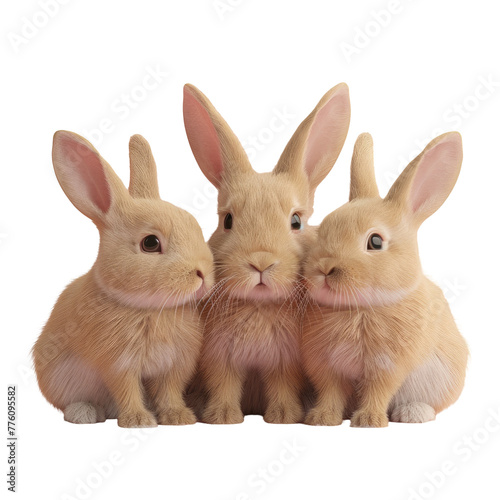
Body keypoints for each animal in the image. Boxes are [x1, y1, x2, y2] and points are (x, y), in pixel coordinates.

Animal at [33, 131, 213, 428]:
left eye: (196, 227)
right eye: (150, 243)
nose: (203, 274)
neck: (150, 308)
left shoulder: (174, 365)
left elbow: (170, 391)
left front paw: (178, 417)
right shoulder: (119, 364)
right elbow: (127, 390)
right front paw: (139, 421)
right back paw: (85, 413)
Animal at [184, 82, 352, 422]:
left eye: (296, 221)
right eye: (227, 220)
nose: (260, 262)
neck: (258, 305)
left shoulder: (285, 362)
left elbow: (281, 385)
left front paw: (284, 415)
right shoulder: (221, 358)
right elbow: (225, 384)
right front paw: (223, 416)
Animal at [300, 132, 468, 426]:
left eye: (375, 242)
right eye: (323, 230)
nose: (325, 268)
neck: (359, 308)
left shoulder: (386, 366)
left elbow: (377, 391)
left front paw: (368, 421)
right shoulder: (327, 367)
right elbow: (330, 392)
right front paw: (322, 418)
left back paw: (412, 413)